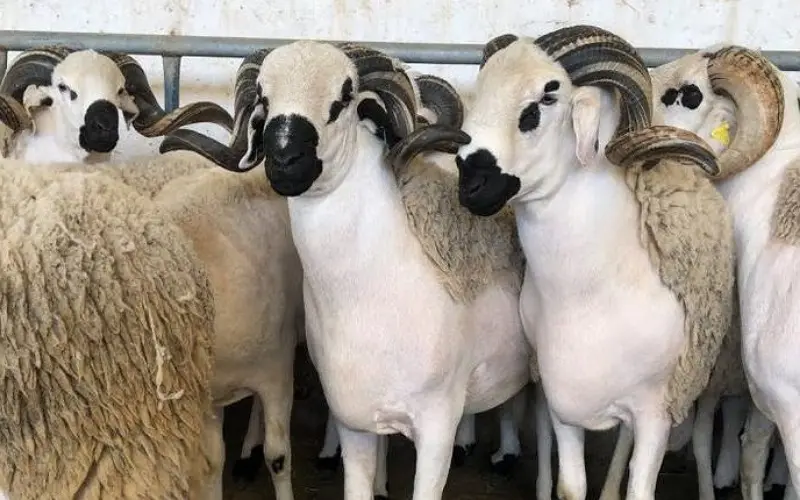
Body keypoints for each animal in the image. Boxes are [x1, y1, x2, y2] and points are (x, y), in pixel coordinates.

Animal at [440, 25, 736, 500]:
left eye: (545, 99)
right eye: (481, 89)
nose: (470, 184)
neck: (591, 293)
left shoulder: (655, 412)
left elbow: (638, 483)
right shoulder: (563, 405)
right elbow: (571, 485)